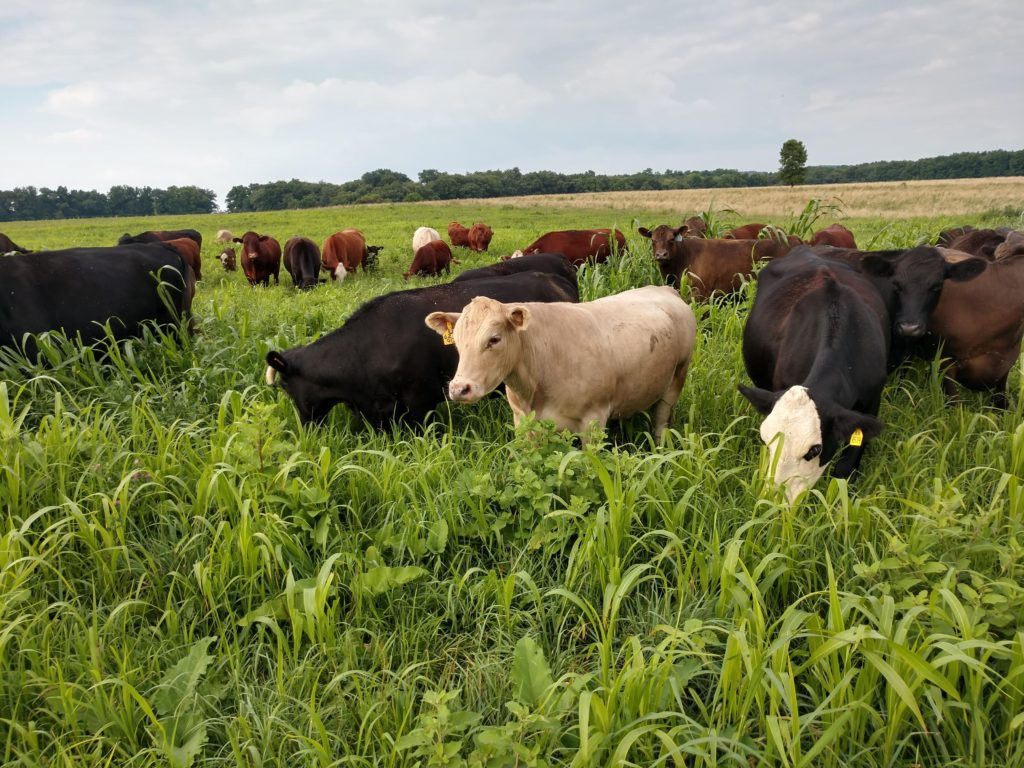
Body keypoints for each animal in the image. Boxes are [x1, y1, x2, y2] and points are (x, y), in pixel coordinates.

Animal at [423, 284, 696, 442]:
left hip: (677, 377)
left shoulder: (593, 421)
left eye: (494, 339)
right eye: (457, 341)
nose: (459, 389)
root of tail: (664, 288)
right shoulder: (522, 422)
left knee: (661, 420)